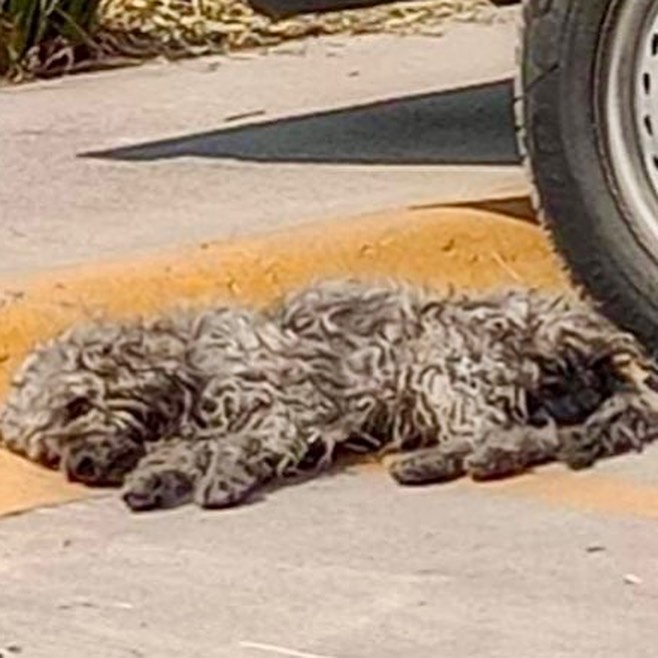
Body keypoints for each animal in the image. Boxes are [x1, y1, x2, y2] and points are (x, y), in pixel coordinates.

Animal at [1, 276, 656, 508]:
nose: (82, 466)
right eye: (46, 451)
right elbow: (178, 454)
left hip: (445, 356)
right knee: (536, 431)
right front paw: (151, 480)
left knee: (518, 433)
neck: (190, 368)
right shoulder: (193, 431)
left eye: (77, 404)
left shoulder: (288, 404)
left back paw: (456, 458)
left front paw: (223, 479)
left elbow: (238, 444)